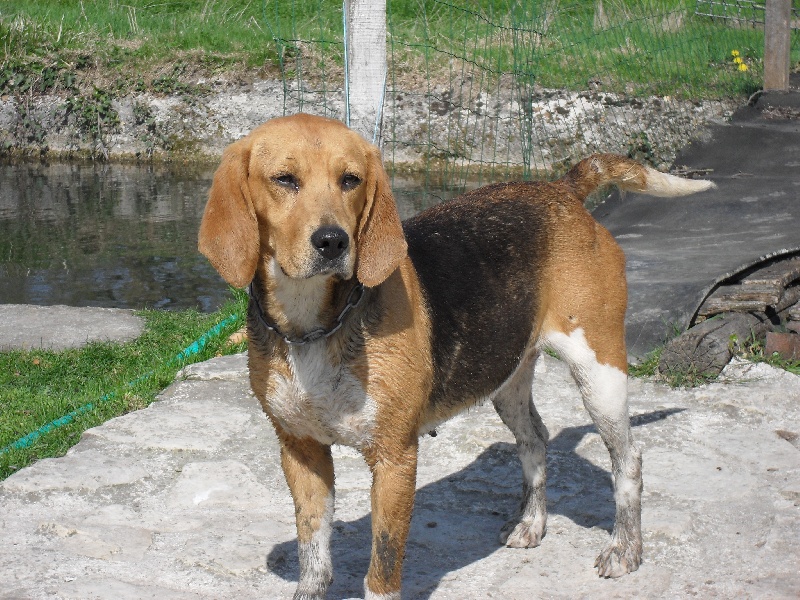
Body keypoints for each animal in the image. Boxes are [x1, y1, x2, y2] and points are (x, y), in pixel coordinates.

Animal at [197, 113, 716, 600]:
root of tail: (561, 189)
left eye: (351, 180)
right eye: (284, 179)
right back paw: (531, 523)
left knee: (628, 461)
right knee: (535, 440)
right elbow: (314, 555)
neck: (312, 326)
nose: (333, 241)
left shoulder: (395, 460)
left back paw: (624, 548)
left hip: (599, 372)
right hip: (506, 376)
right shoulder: (300, 451)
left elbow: (382, 566)